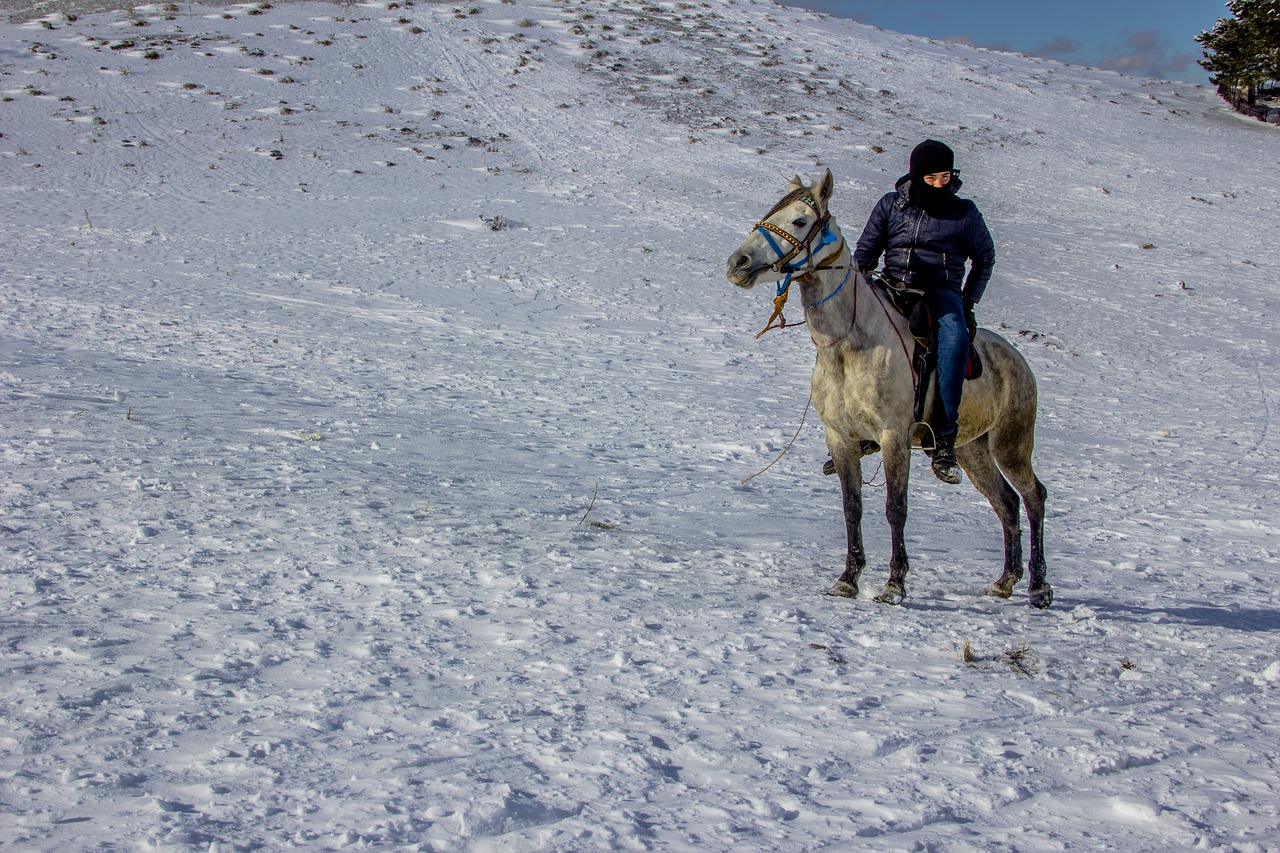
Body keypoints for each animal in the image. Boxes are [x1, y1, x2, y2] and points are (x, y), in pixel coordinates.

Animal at [727, 167, 1054, 604]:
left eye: (798, 221)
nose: (738, 262)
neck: (849, 344)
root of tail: (1019, 362)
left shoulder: (894, 437)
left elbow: (894, 508)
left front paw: (894, 584)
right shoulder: (841, 438)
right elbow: (852, 508)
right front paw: (848, 578)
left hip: (1011, 444)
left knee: (1034, 497)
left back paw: (1038, 587)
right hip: (973, 450)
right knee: (1006, 502)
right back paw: (1006, 580)